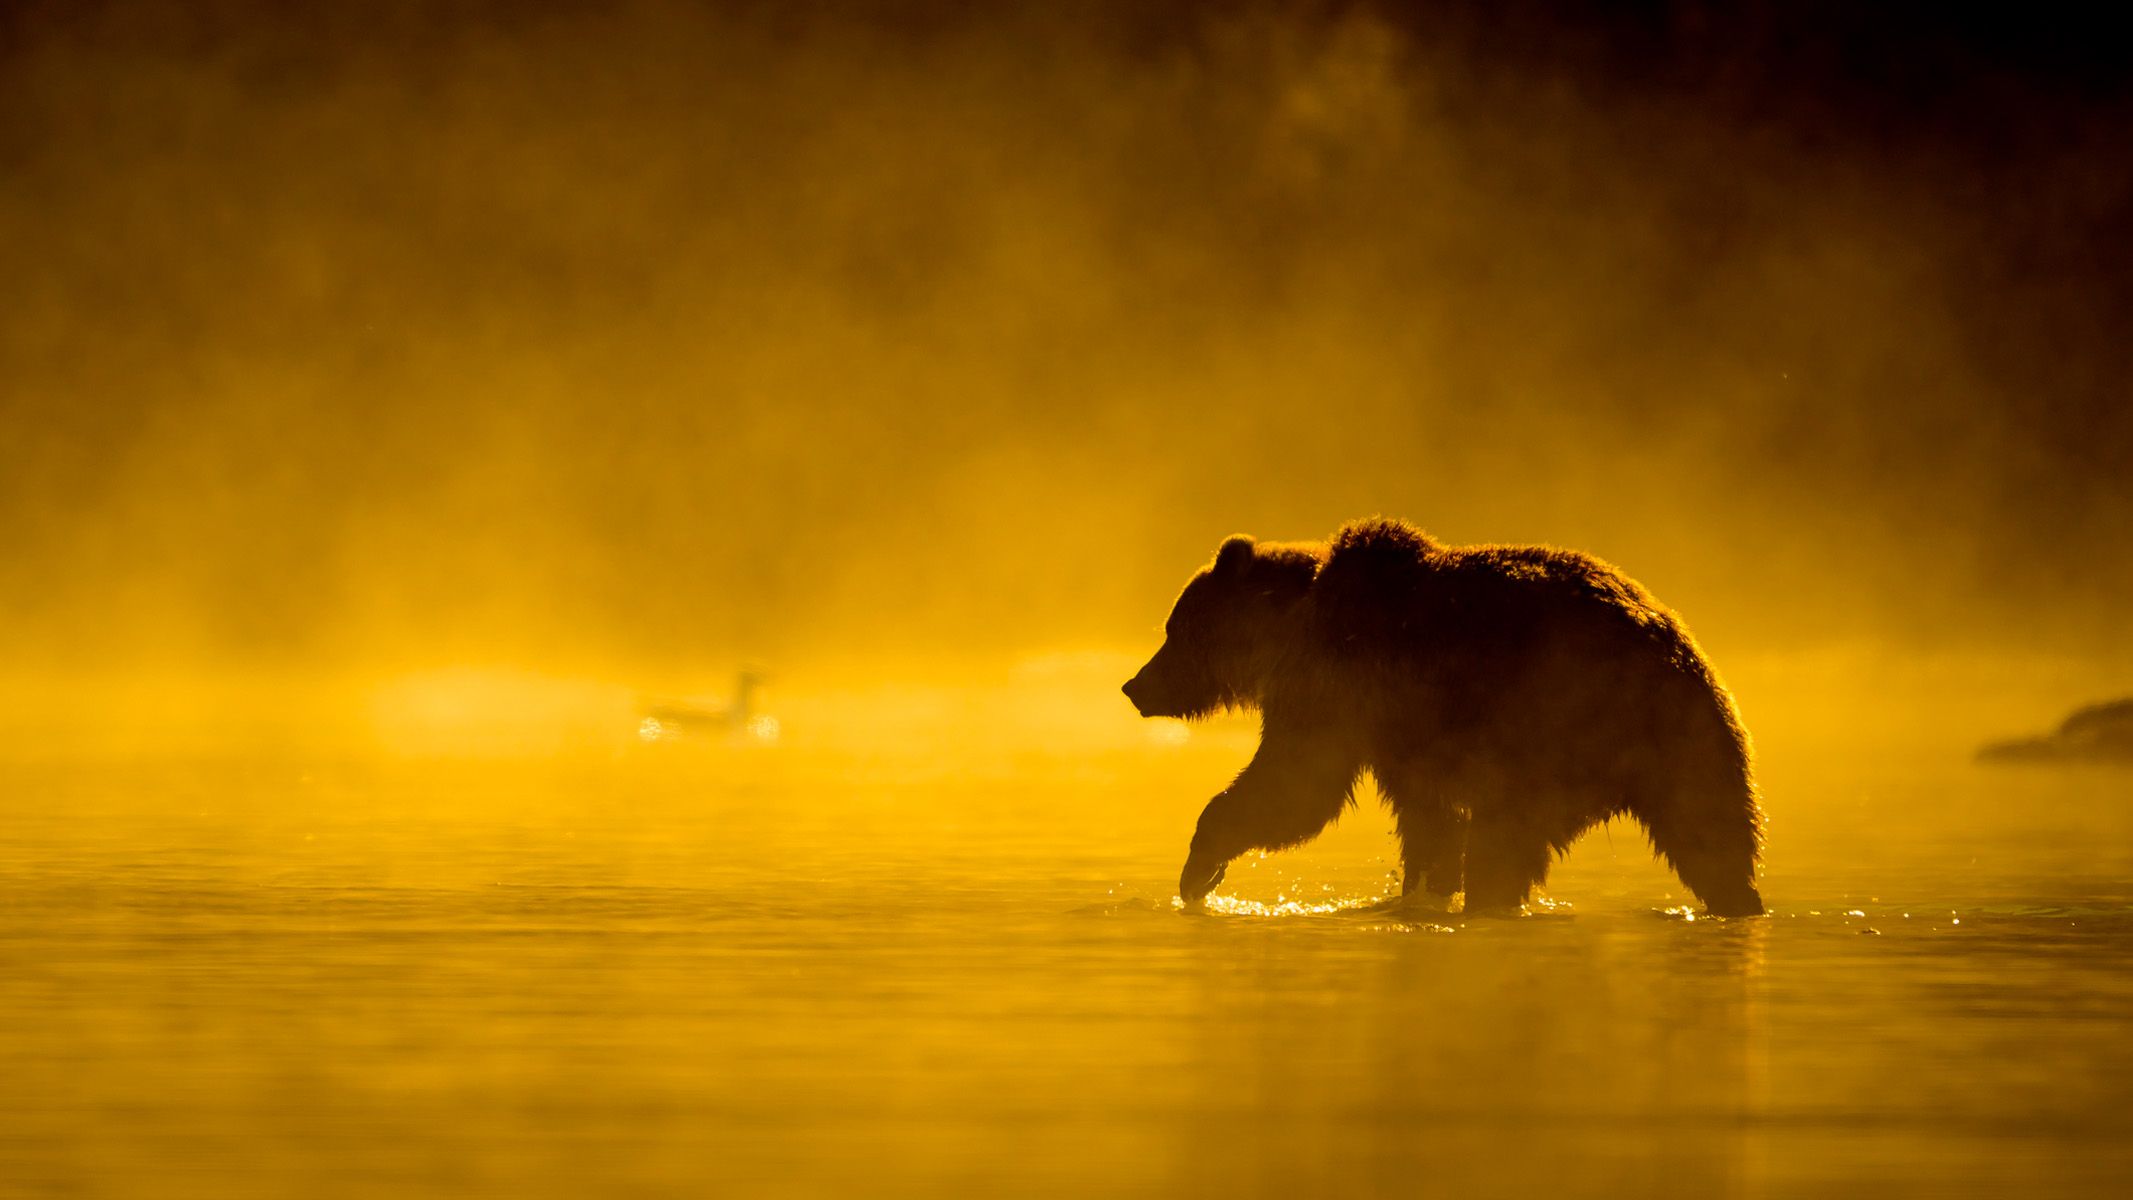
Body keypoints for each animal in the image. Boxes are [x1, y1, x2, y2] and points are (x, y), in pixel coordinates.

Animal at [1122, 518, 1764, 916]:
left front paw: (1198, 870)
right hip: (1691, 743)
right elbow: (1424, 819)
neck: (1287, 626)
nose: (1134, 686)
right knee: (1713, 834)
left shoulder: (1336, 682)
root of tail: (1671, 641)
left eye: (1173, 628)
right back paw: (1740, 899)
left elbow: (1295, 788)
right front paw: (1421, 890)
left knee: (1505, 837)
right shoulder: (1398, 733)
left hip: (1553, 740)